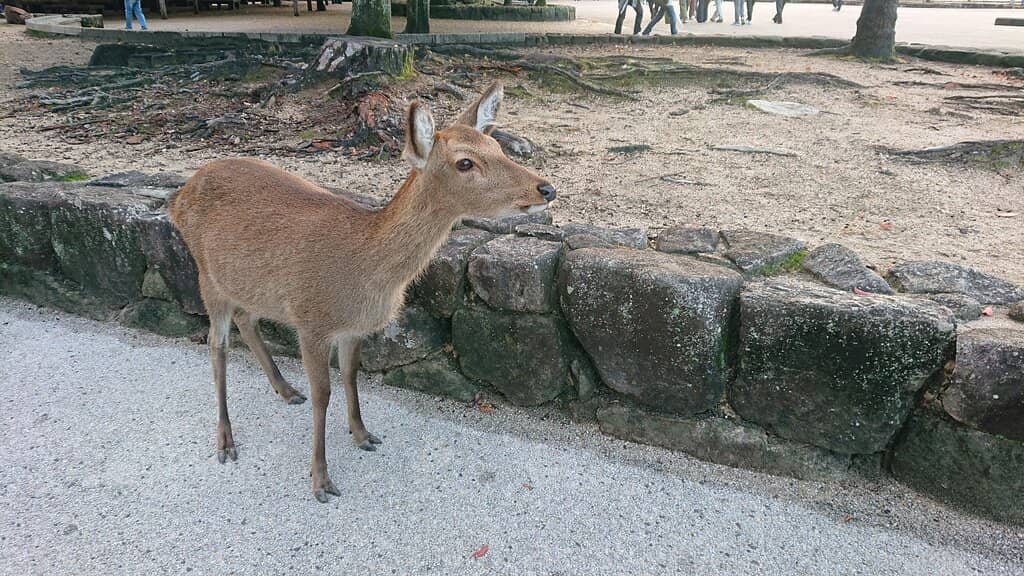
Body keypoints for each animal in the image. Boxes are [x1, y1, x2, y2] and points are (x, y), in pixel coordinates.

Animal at [167, 83, 555, 502]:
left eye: (497, 146)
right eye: (465, 163)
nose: (546, 188)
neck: (366, 273)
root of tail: (178, 197)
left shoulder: (353, 328)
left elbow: (351, 376)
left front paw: (362, 434)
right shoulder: (310, 320)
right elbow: (323, 394)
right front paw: (321, 480)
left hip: (248, 283)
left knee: (245, 317)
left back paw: (286, 390)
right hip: (206, 275)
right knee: (216, 344)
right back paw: (226, 440)